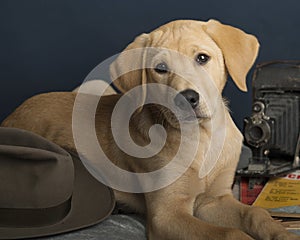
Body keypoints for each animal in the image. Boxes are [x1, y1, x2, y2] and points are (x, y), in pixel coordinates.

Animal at [1, 19, 298, 239]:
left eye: (202, 58)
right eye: (160, 68)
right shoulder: (167, 215)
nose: (187, 98)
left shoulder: (214, 200)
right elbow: (228, 233)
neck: (201, 139)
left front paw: (280, 233)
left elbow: (254, 213)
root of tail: (11, 116)